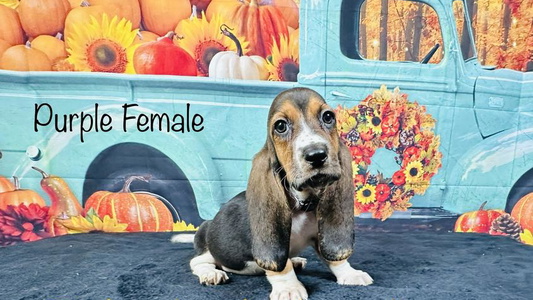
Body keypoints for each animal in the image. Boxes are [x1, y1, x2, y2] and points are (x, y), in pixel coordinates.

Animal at [172, 87, 372, 300]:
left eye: (328, 117)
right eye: (280, 126)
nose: (316, 155)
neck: (302, 203)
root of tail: (206, 226)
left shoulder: (320, 236)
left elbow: (334, 259)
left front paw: (351, 274)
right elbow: (281, 266)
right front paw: (289, 288)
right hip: (208, 249)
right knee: (198, 262)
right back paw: (211, 274)